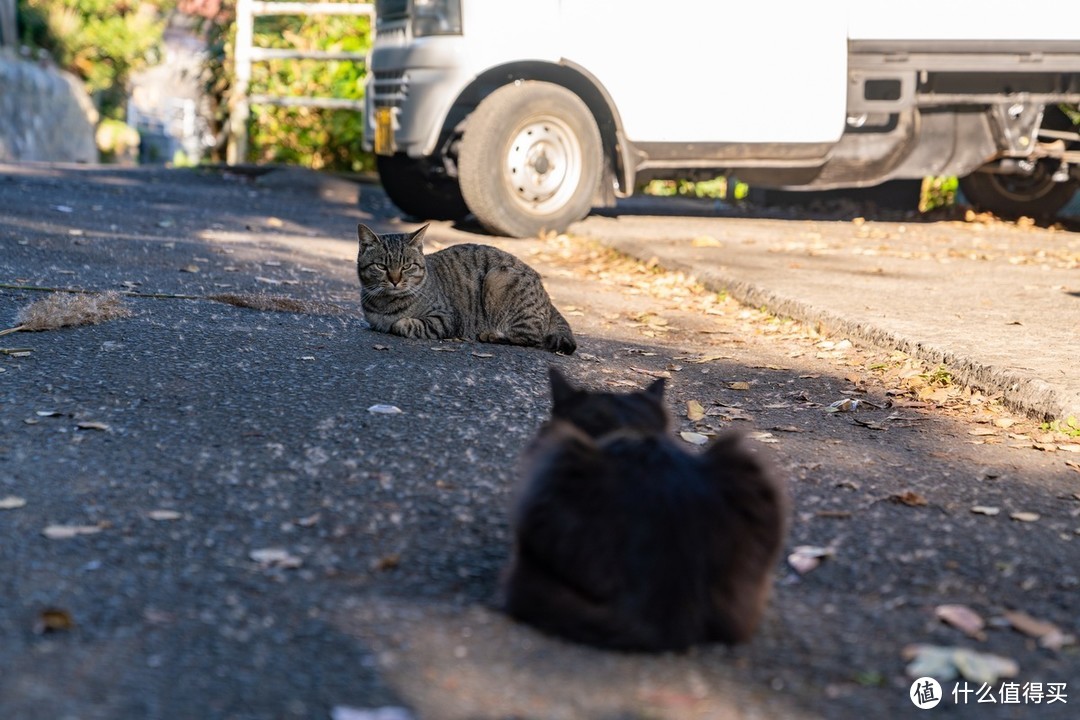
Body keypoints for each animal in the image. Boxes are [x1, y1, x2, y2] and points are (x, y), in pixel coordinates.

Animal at [356, 222, 578, 351]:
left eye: (407, 266)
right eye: (381, 266)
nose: (395, 280)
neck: (385, 303)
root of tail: (548, 299)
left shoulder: (445, 319)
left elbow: (402, 324)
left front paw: (398, 323)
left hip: (498, 278)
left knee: (531, 338)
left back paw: (491, 335)